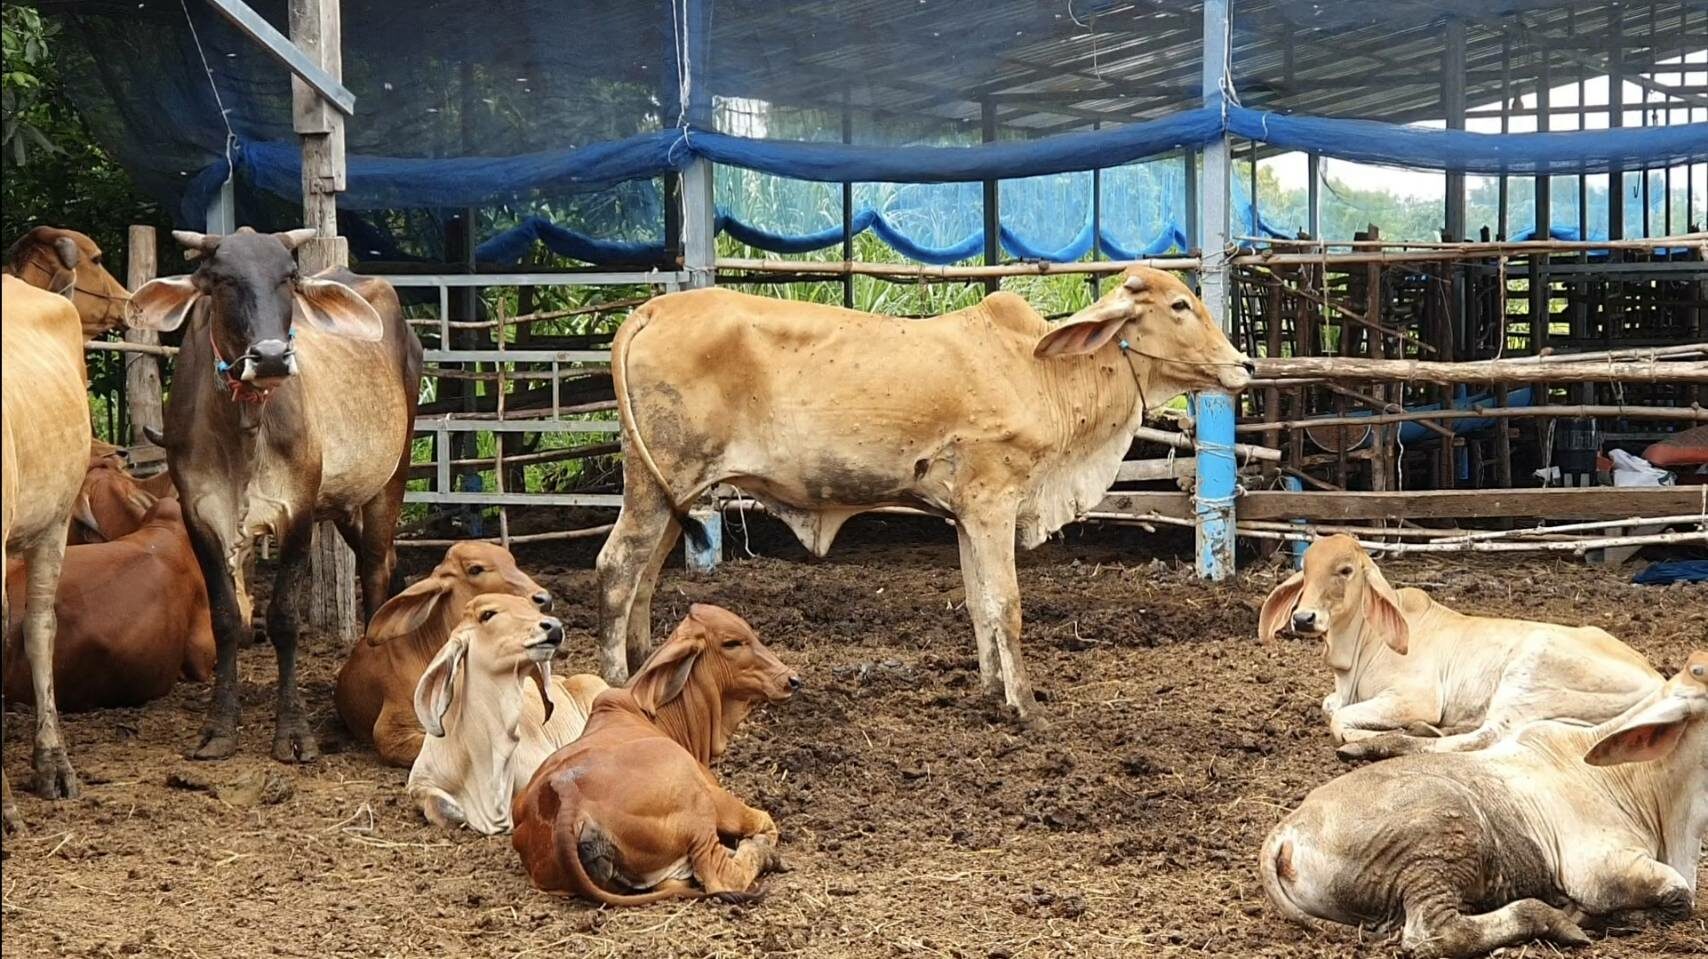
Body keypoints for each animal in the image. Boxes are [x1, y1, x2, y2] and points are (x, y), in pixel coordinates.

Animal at [124, 227, 423, 762]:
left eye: (289, 277)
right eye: (221, 279)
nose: (268, 357)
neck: (241, 425)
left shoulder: (298, 511)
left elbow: (284, 617)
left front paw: (293, 733)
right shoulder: (198, 513)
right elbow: (225, 618)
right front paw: (219, 728)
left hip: (393, 471)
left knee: (374, 567)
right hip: (342, 500)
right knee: (385, 560)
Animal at [511, 604, 799, 904]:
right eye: (731, 642)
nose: (792, 679)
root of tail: (566, 798)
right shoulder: (716, 794)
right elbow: (765, 821)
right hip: (699, 808)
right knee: (720, 872)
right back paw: (766, 856)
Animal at [598, 267, 1252, 716]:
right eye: (1180, 304)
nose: (1244, 365)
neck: (1044, 373)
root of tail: (650, 310)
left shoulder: (965, 513)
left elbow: (979, 602)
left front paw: (992, 691)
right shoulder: (993, 500)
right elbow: (1006, 604)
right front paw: (1026, 707)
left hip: (673, 491)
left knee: (647, 577)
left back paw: (651, 672)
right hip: (658, 483)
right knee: (617, 570)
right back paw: (617, 683)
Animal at [1259, 535, 1662, 760]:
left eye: (1345, 570)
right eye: (1305, 569)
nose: (1303, 618)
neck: (1357, 652)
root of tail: (1657, 679)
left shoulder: (1417, 696)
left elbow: (1340, 720)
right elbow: (1331, 708)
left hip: (1529, 672)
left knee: (1487, 736)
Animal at [1260, 651, 1708, 958]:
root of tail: (1286, 831)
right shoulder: (1598, 869)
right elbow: (1678, 895)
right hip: (1437, 840)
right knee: (1435, 931)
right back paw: (1555, 920)